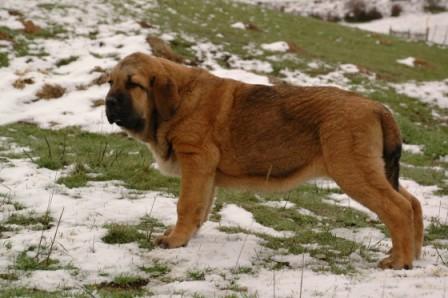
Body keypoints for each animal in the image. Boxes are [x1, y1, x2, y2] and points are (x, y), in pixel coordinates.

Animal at [105, 51, 424, 270]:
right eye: (110, 82)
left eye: (134, 85)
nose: (109, 102)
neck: (179, 100)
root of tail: (378, 108)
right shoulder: (206, 173)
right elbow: (201, 208)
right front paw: (185, 236)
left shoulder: (195, 161)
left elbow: (187, 205)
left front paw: (174, 240)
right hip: (373, 168)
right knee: (413, 203)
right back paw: (414, 253)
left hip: (352, 170)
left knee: (397, 208)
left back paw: (400, 261)